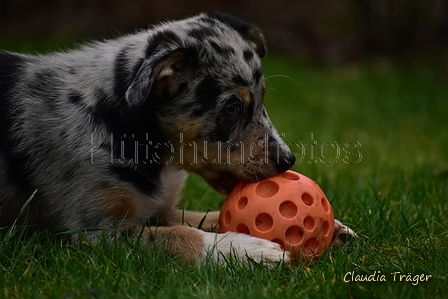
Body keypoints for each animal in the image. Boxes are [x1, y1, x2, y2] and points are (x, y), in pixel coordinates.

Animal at [0, 11, 356, 264]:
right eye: (232, 107)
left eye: (262, 98)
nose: (288, 161)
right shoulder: (94, 232)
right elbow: (177, 236)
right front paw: (248, 249)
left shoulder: (157, 209)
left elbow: (201, 219)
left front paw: (335, 229)